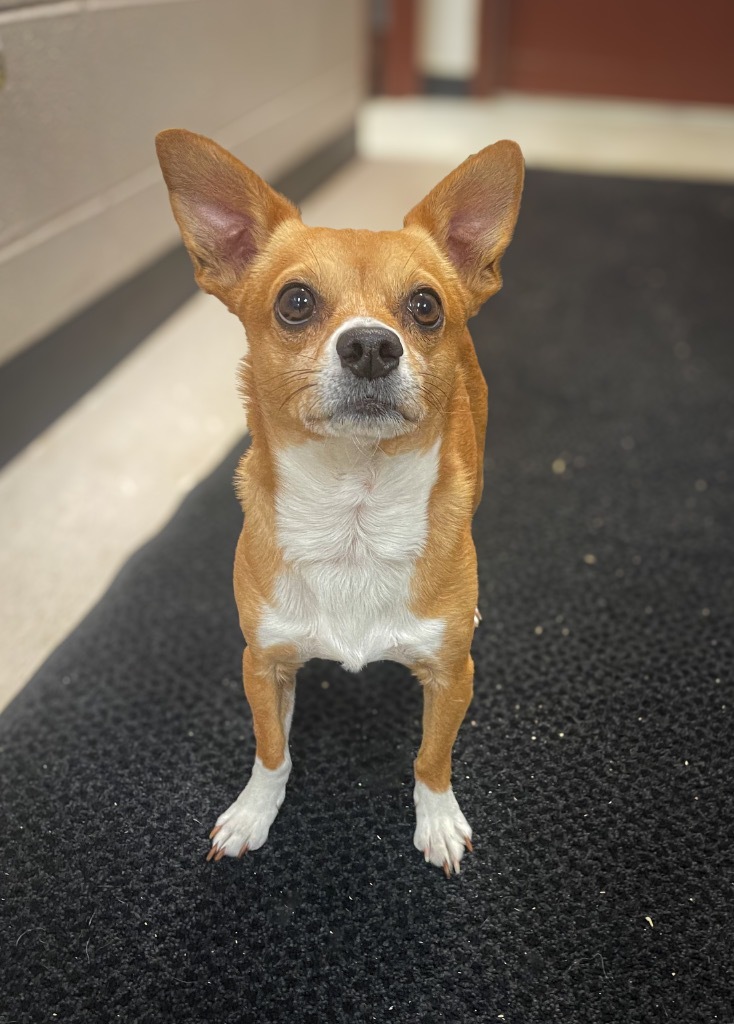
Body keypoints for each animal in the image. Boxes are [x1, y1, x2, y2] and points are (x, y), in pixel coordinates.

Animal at [154, 132, 524, 876]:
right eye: (295, 301)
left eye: (425, 306)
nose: (372, 344)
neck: (355, 517)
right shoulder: (261, 662)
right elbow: (271, 751)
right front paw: (254, 811)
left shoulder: (453, 676)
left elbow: (431, 757)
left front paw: (438, 818)